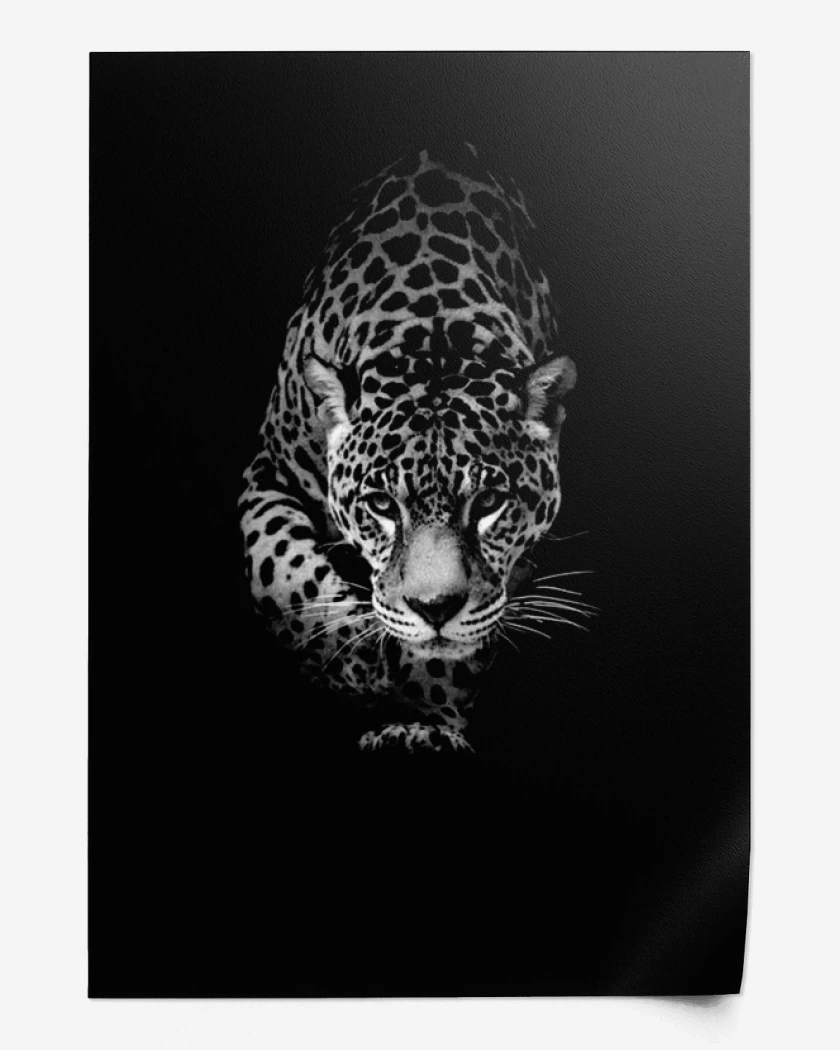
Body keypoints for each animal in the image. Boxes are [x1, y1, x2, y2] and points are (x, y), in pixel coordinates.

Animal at [239, 144, 582, 754]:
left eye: (489, 503)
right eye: (381, 505)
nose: (435, 609)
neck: (434, 333)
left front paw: (425, 717)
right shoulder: (268, 470)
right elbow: (279, 568)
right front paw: (355, 660)